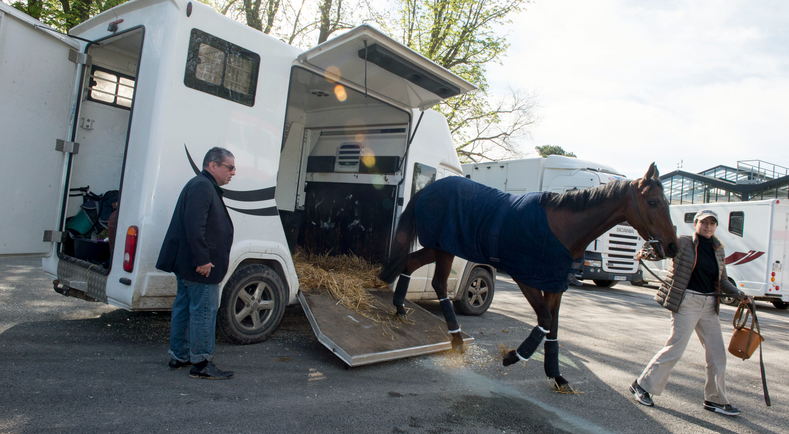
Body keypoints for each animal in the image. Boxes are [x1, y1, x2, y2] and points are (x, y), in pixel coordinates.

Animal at [380, 162, 676, 390]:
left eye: (667, 202)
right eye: (653, 202)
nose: (672, 246)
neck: (560, 228)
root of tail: (428, 189)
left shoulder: (555, 285)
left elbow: (552, 328)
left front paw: (556, 376)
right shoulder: (527, 279)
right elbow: (544, 320)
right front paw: (514, 356)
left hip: (441, 247)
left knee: (412, 264)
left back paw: (403, 309)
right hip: (444, 248)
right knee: (438, 283)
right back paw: (454, 337)